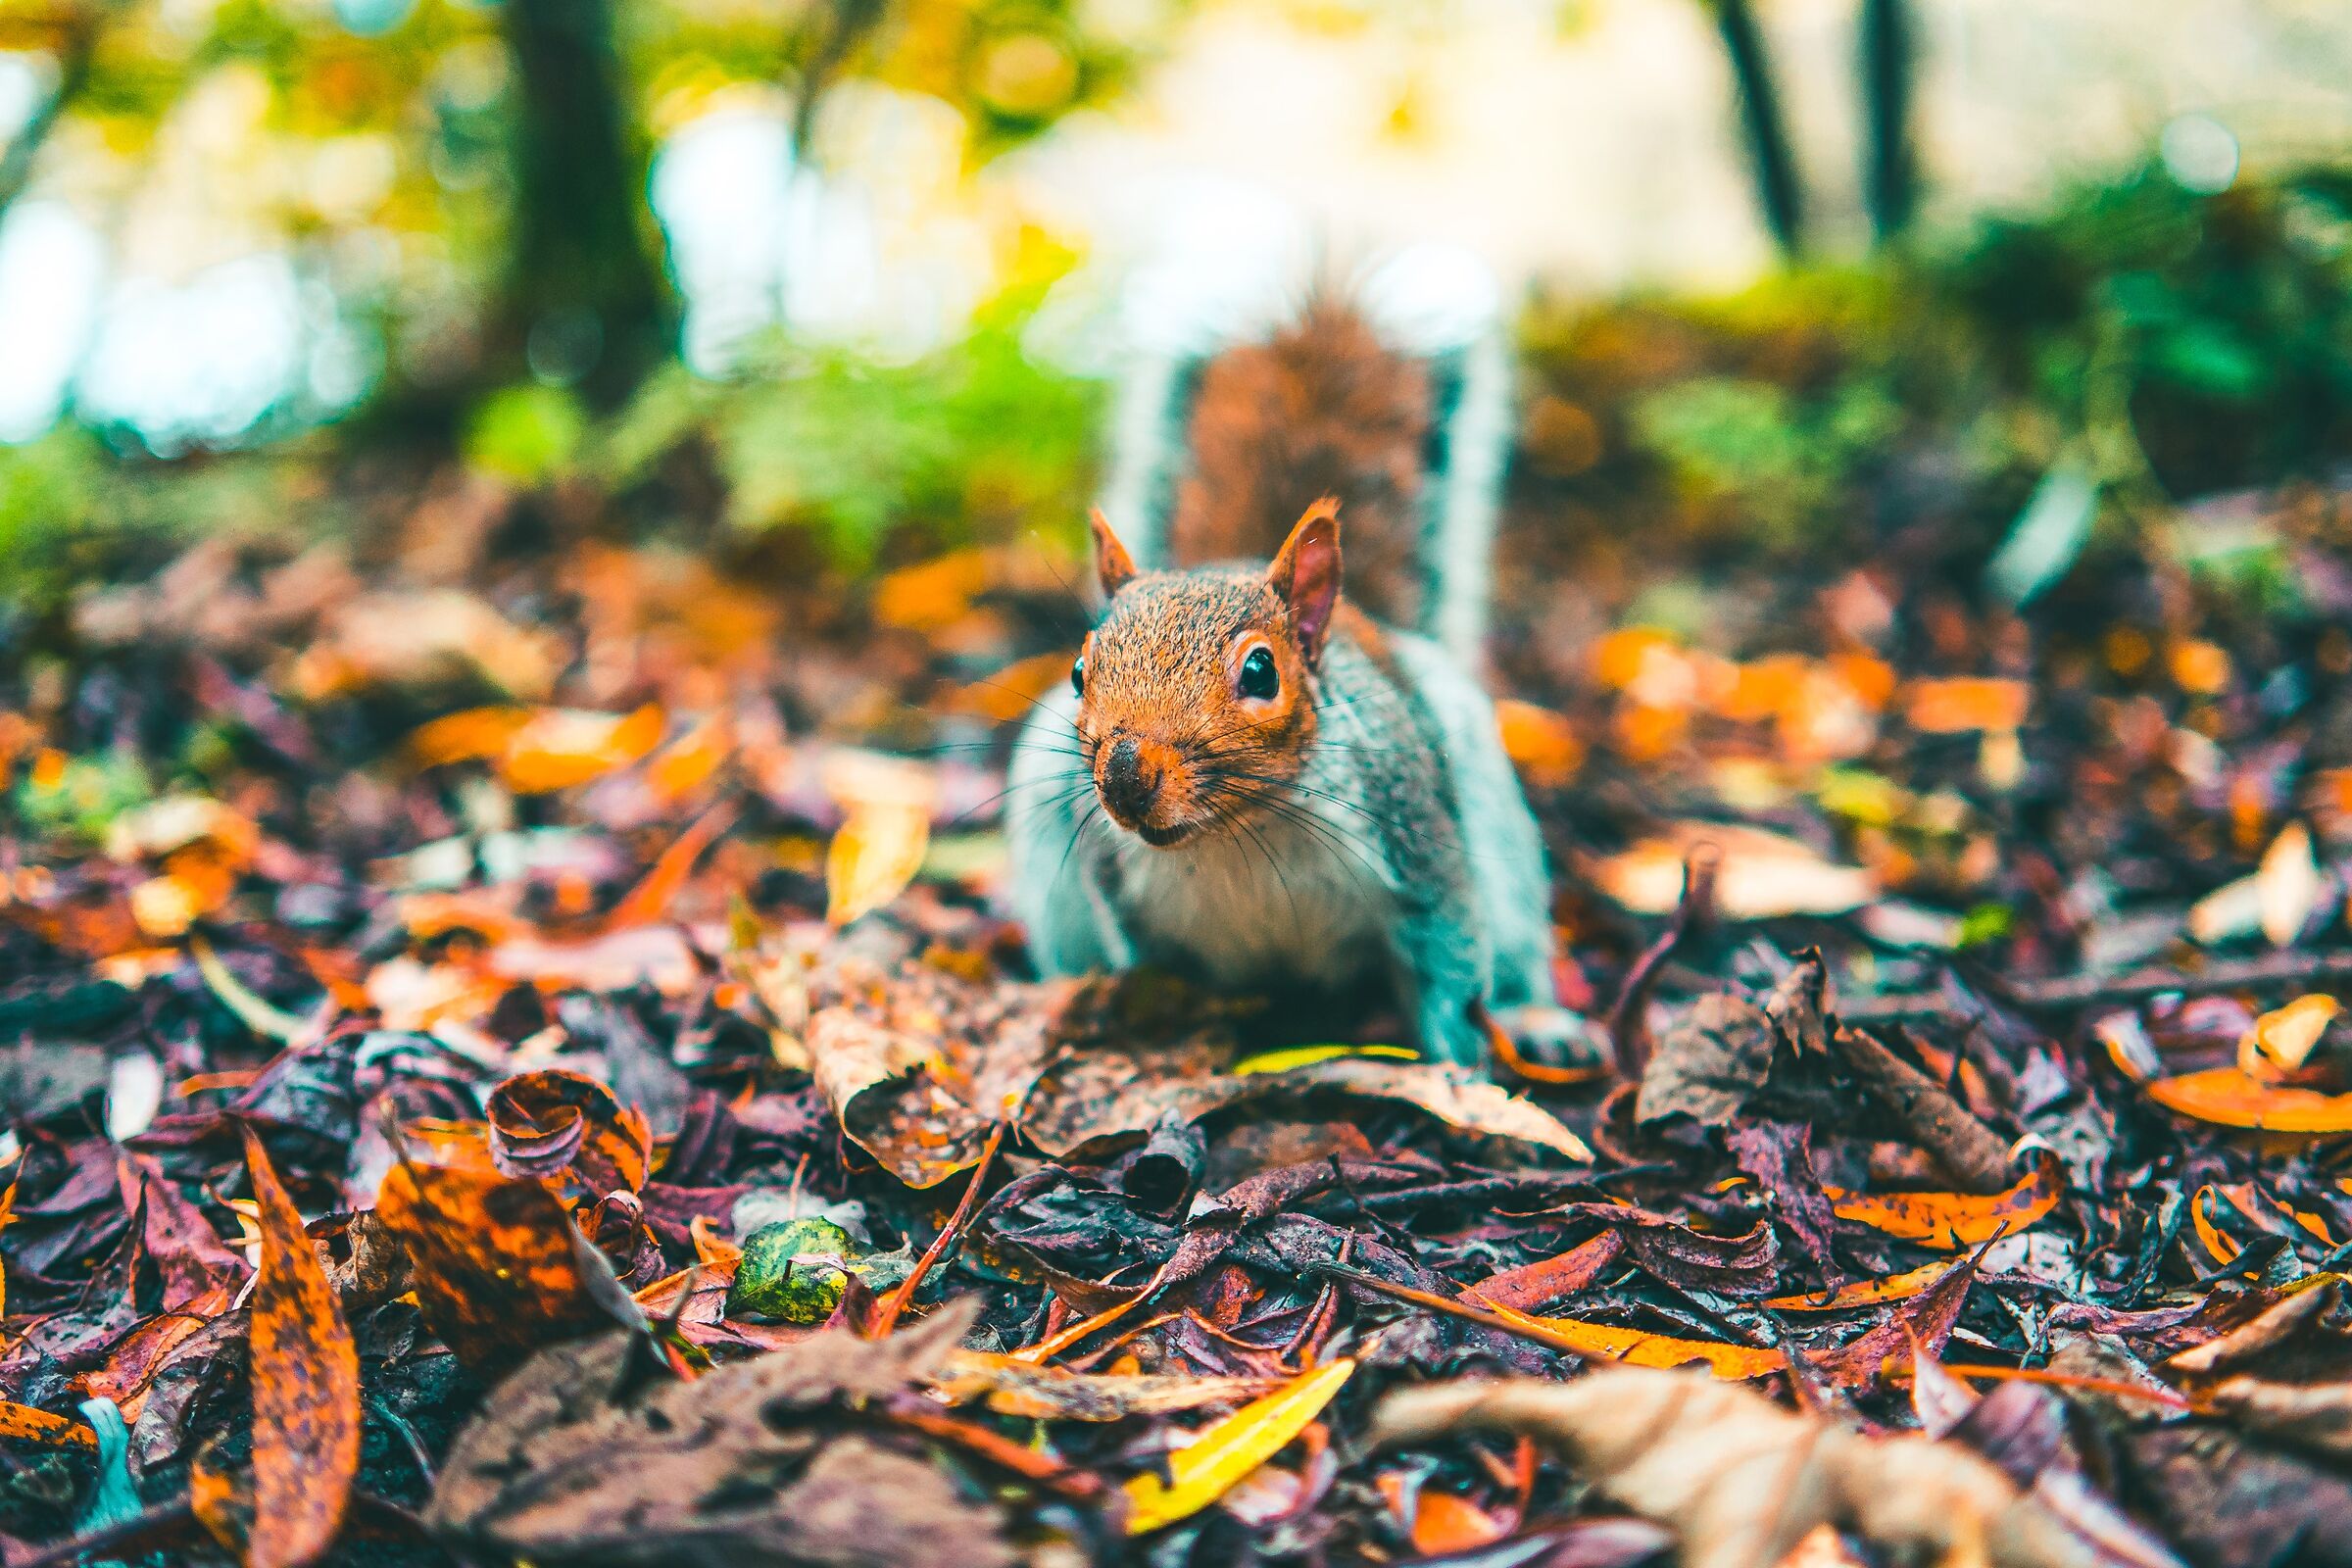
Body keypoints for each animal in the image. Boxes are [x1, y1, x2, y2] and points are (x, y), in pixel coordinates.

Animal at [1005, 298, 1552, 1066]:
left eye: (1261, 671)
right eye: (1079, 673)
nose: (1124, 778)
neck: (1238, 835)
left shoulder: (1420, 852)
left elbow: (1450, 975)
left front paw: (1462, 1077)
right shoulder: (1131, 910)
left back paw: (1537, 1019)